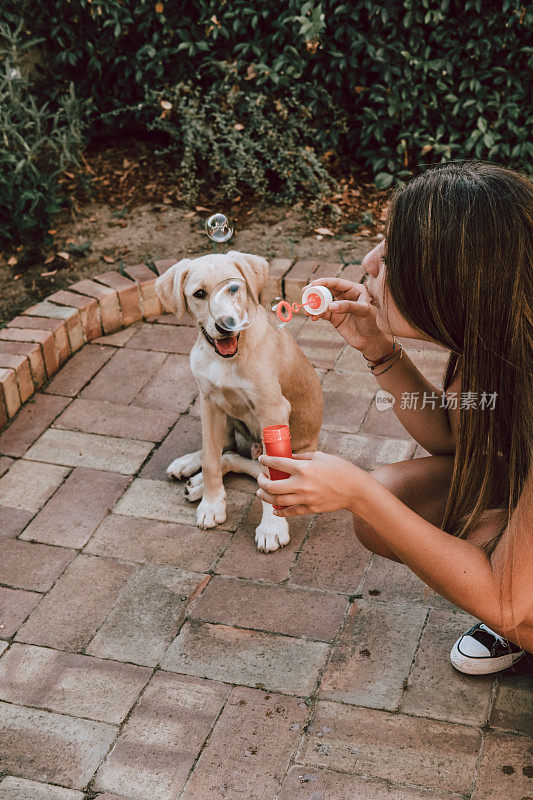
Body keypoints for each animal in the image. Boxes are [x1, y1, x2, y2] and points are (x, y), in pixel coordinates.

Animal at [154, 253, 320, 552]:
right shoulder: (209, 403)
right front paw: (211, 504)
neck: (228, 358)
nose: (225, 324)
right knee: (226, 450)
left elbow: (271, 477)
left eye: (233, 288)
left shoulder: (273, 410)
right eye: (199, 294)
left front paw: (272, 527)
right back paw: (190, 469)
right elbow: (210, 458)